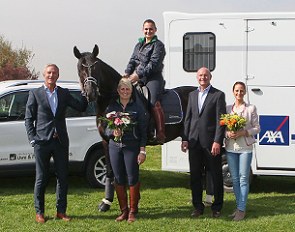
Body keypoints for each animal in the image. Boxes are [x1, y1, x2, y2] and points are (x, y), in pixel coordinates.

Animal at [73, 44, 197, 211]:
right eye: (80, 68)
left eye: (96, 67)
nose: (91, 93)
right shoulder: (107, 141)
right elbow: (110, 172)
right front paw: (107, 202)